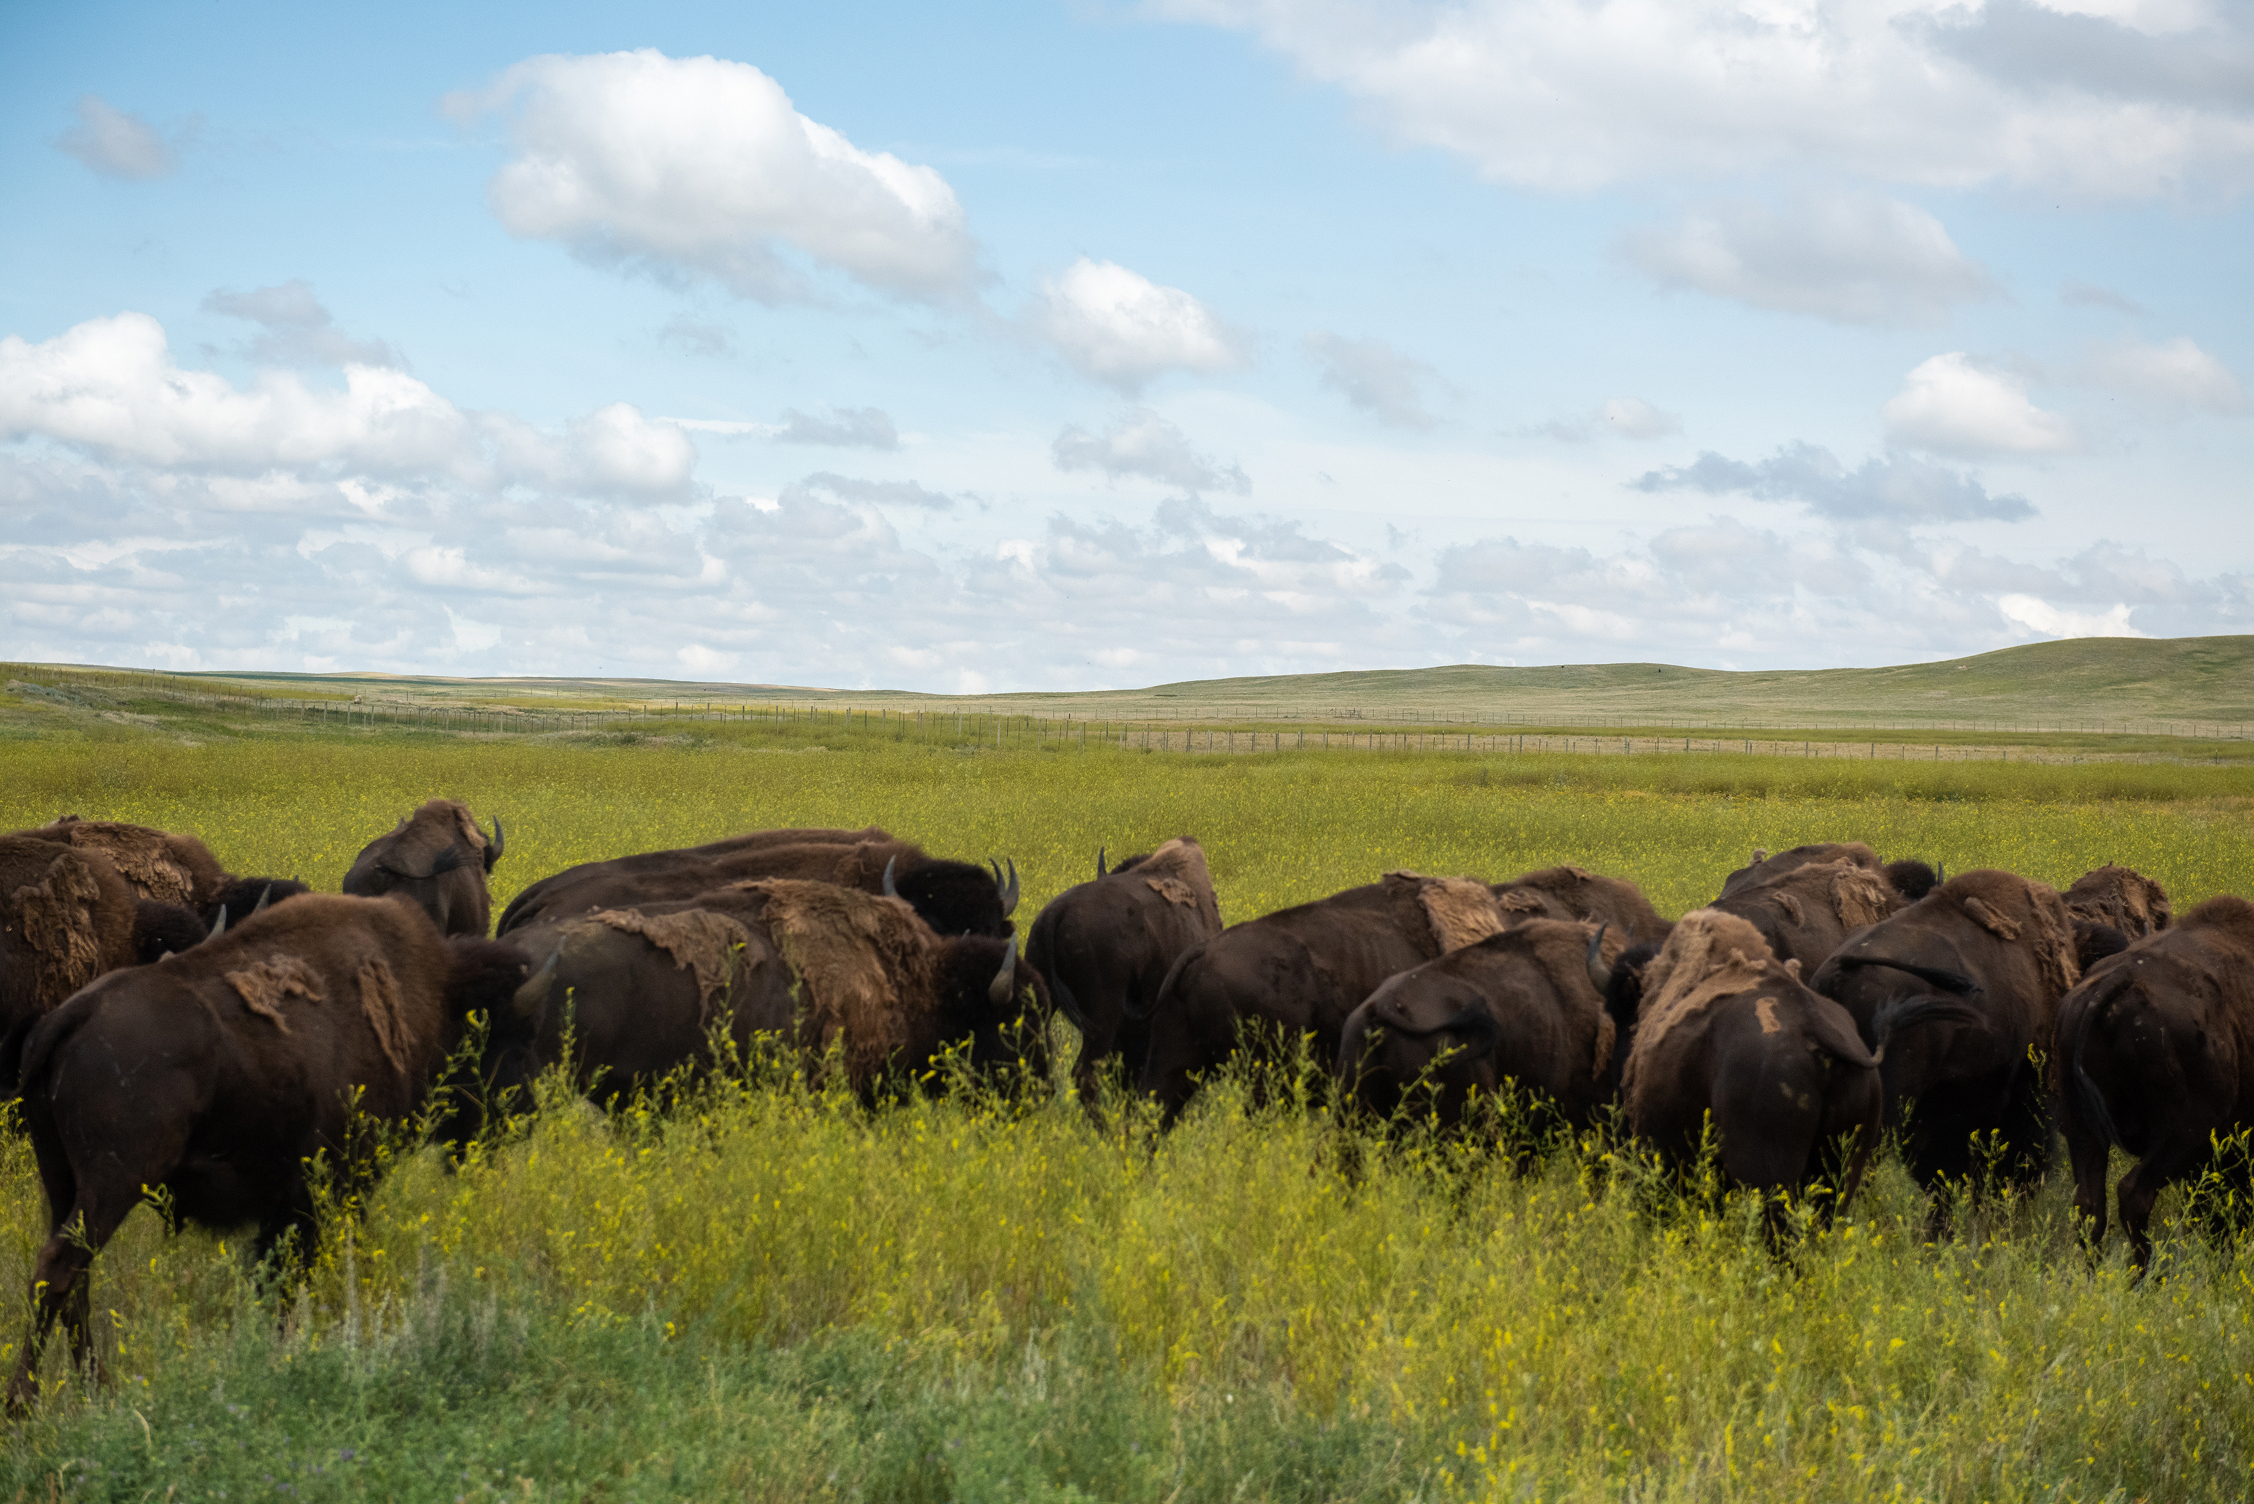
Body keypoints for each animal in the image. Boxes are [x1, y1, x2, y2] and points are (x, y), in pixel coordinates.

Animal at [4, 893, 528, 1412]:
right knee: (59, 1268)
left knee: (74, 1279)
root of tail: (70, 1015)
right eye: (494, 1026)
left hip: (63, 1181)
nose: (508, 1118)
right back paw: (24, 1404)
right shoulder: (329, 1191)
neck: (428, 990)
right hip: (115, 1182)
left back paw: (96, 1389)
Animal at [2056, 894, 2254, 1271]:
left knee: (2089, 1207)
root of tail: (2116, 980)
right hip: (2182, 1135)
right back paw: (2145, 1278)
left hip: (2083, 1132)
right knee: (2134, 1194)